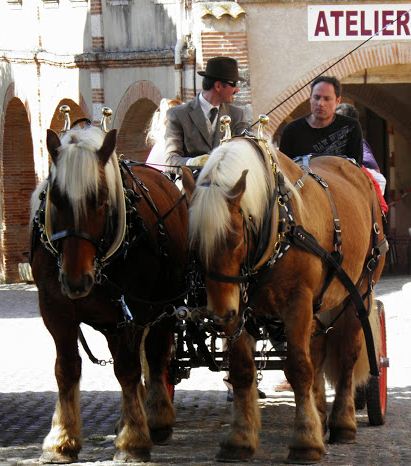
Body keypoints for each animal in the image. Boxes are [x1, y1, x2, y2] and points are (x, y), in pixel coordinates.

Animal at [30, 122, 188, 460]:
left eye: (100, 199)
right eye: (56, 198)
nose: (76, 280)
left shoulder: (130, 312)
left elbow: (128, 369)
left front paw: (133, 441)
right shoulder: (55, 309)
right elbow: (66, 368)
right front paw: (61, 440)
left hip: (165, 305)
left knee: (155, 355)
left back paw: (156, 418)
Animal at [182, 135, 388, 462]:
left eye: (234, 238)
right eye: (194, 242)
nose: (219, 315)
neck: (278, 225)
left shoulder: (297, 303)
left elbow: (299, 368)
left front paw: (305, 441)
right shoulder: (243, 310)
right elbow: (242, 370)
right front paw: (240, 439)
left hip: (359, 295)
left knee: (347, 356)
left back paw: (342, 423)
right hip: (320, 307)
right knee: (318, 353)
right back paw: (321, 415)